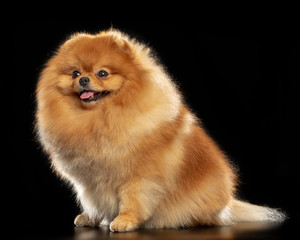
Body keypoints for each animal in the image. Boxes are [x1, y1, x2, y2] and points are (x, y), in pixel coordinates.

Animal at [35, 29, 286, 232]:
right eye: (75, 73)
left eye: (103, 73)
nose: (84, 80)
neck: (99, 119)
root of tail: (228, 204)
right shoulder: (90, 181)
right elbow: (92, 200)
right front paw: (91, 217)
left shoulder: (140, 176)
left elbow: (132, 200)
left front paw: (124, 221)